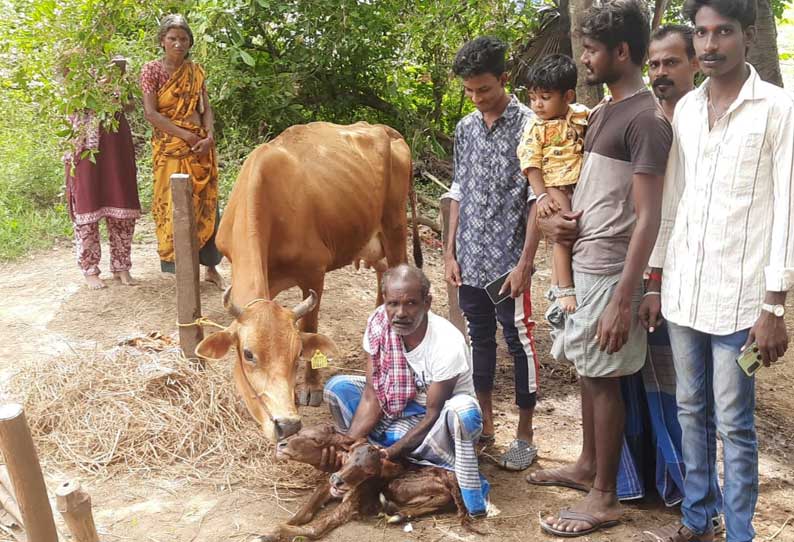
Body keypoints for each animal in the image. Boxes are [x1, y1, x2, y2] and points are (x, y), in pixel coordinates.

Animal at [195, 122, 420, 442]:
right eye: (248, 354)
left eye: (297, 354)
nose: (287, 424)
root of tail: (383, 129)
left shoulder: (314, 272)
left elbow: (310, 327)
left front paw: (311, 385)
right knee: (383, 275)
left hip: (395, 226)